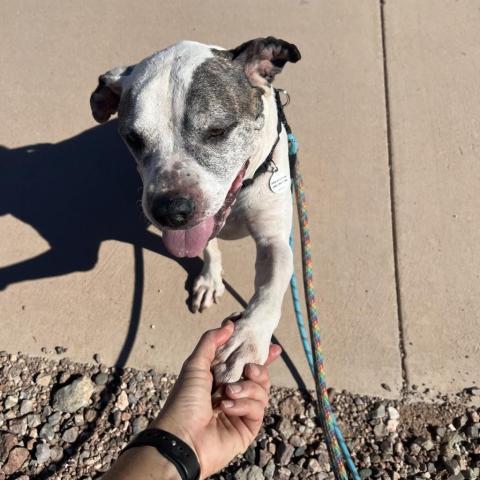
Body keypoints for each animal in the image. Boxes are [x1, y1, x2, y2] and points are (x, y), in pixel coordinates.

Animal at [89, 36, 300, 382]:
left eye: (218, 131)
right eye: (133, 138)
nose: (170, 211)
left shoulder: (274, 239)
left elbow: (272, 285)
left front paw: (247, 339)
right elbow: (209, 248)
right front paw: (210, 281)